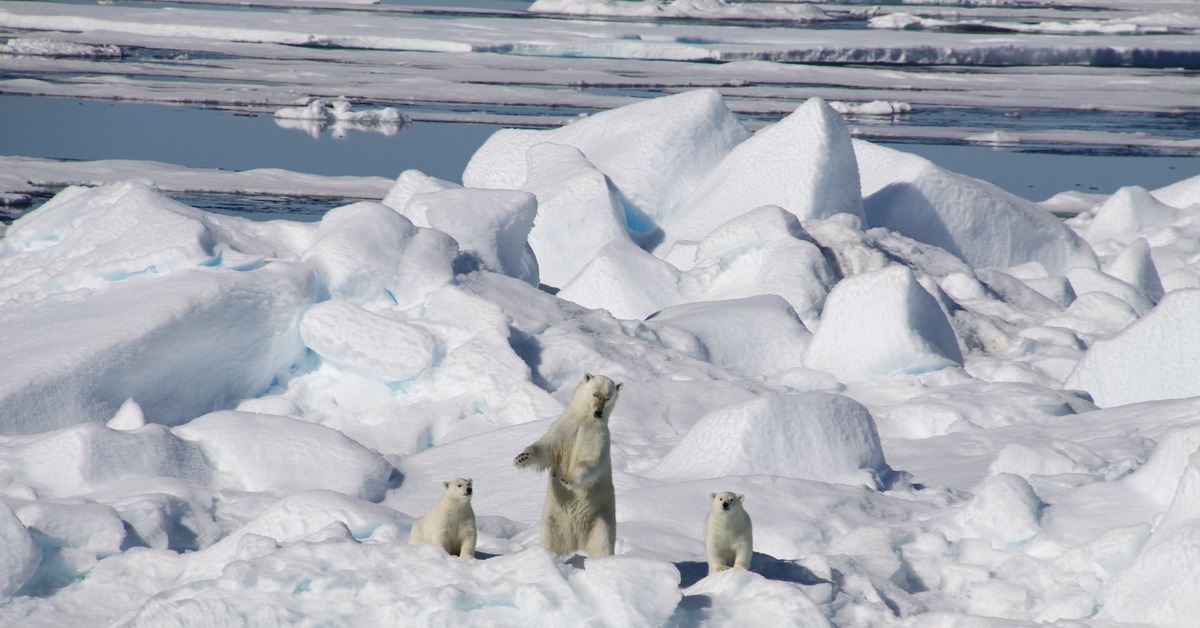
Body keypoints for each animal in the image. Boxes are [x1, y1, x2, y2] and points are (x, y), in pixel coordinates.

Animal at [513, 372, 624, 557]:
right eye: (595, 394)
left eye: (607, 397)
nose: (598, 412)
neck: (586, 420)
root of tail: (577, 541)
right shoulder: (565, 428)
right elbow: (546, 448)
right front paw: (522, 458)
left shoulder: (597, 436)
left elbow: (590, 461)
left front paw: (568, 479)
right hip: (554, 519)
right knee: (550, 539)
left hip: (601, 518)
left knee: (601, 543)